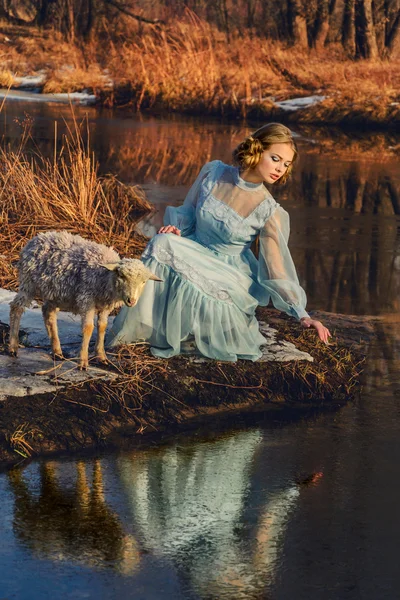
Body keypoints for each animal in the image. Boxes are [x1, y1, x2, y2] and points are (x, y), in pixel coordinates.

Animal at [7, 232, 161, 368]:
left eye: (143, 282)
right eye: (121, 276)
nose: (131, 300)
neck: (105, 276)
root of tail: (36, 238)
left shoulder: (106, 305)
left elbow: (102, 326)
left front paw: (101, 356)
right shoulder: (87, 299)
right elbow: (88, 328)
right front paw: (83, 361)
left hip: (55, 292)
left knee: (48, 312)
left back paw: (57, 351)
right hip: (28, 282)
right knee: (17, 307)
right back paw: (13, 347)